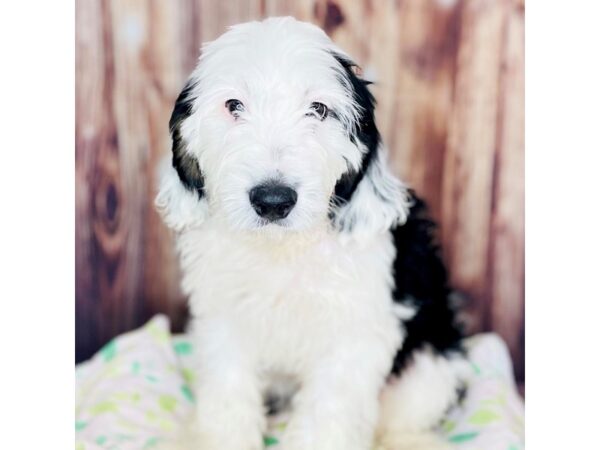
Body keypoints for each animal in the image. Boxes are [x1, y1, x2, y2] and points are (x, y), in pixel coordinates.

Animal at [157, 16, 466, 450]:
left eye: (319, 109)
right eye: (233, 105)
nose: (273, 200)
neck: (282, 249)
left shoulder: (352, 337)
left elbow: (327, 414)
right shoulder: (224, 319)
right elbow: (227, 397)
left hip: (430, 361)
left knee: (405, 419)